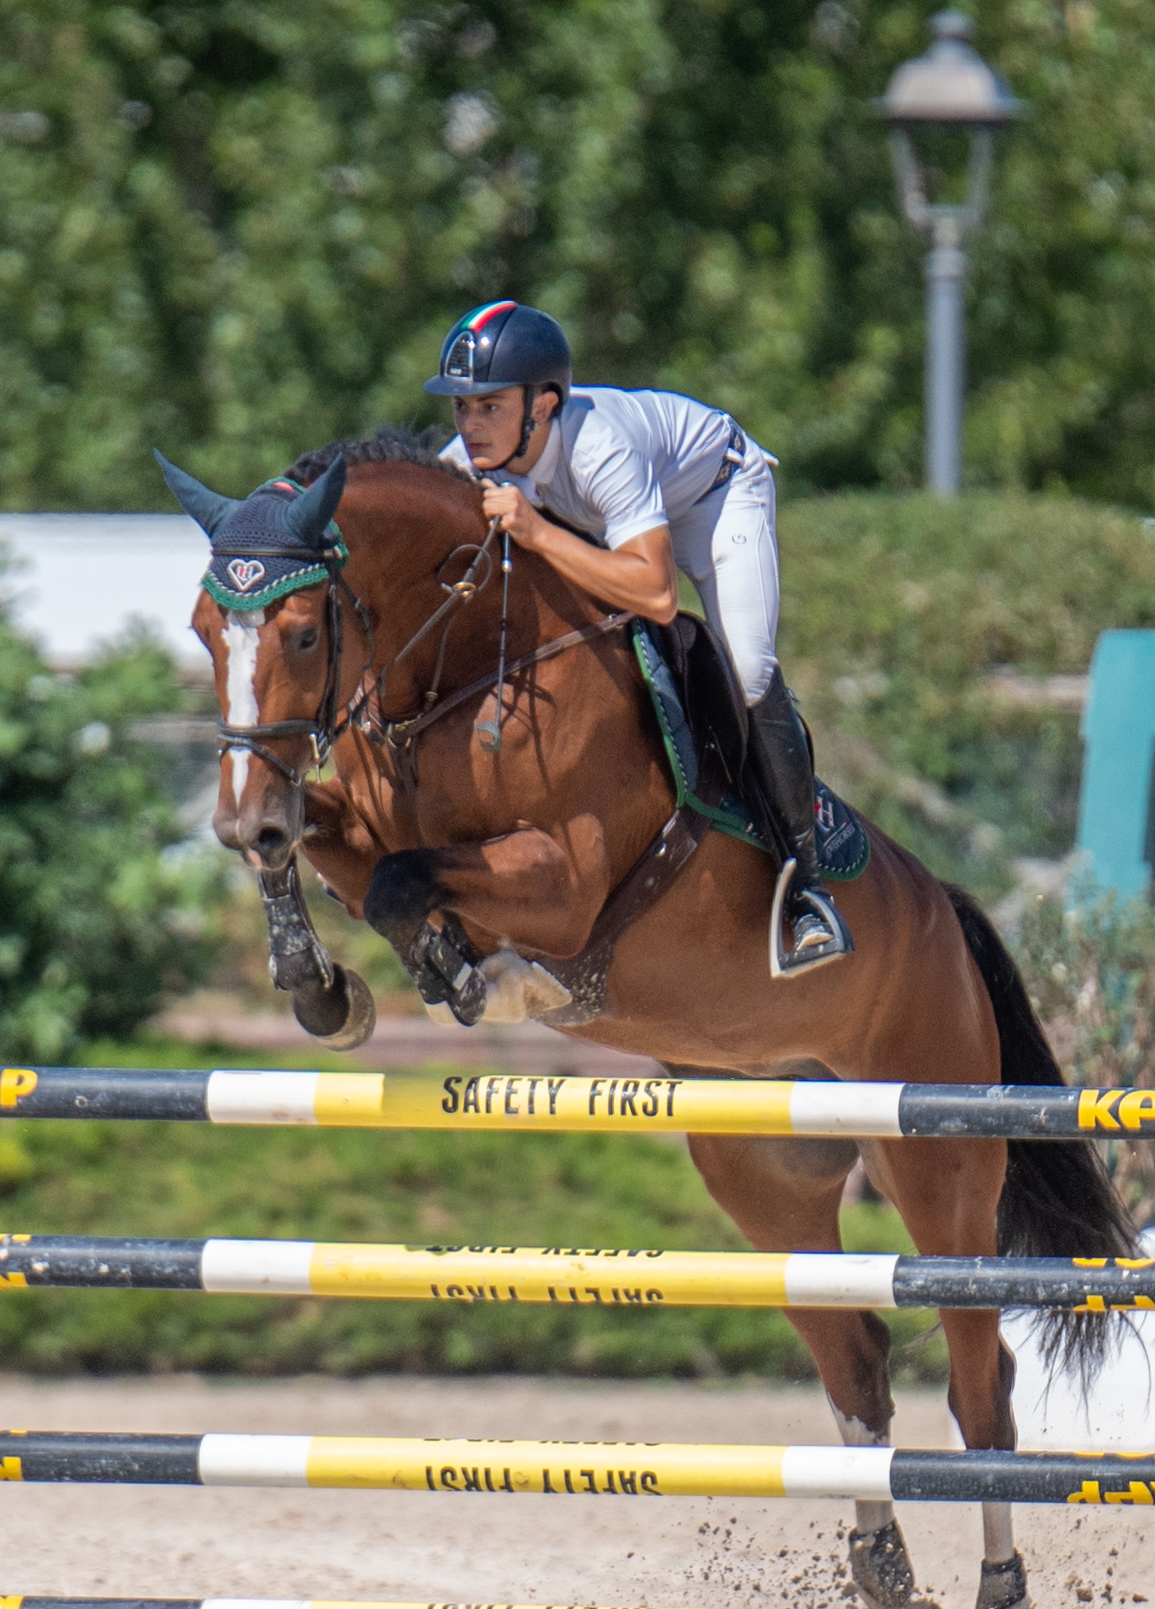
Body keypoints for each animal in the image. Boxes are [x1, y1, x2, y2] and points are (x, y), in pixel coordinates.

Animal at [162, 428, 1133, 1609]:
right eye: (203, 627)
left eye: (303, 629)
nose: (232, 818)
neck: (461, 672)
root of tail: (942, 907)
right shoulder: (358, 809)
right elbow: (338, 847)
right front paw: (326, 986)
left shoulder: (567, 874)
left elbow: (406, 878)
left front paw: (494, 978)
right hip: (764, 1175)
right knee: (855, 1358)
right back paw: (881, 1565)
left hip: (936, 1161)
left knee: (978, 1375)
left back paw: (996, 1577)